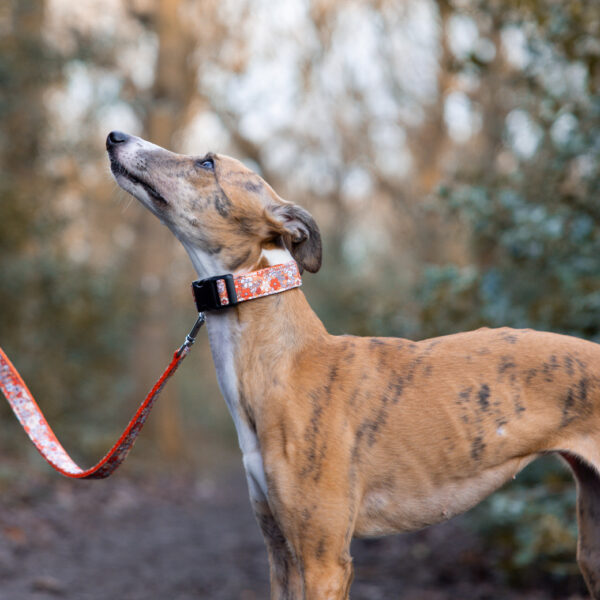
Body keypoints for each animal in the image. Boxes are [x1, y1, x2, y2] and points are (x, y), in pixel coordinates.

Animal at [106, 131, 600, 600]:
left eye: (207, 163)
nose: (114, 136)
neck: (285, 361)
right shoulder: (280, 552)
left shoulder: (324, 560)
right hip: (591, 547)